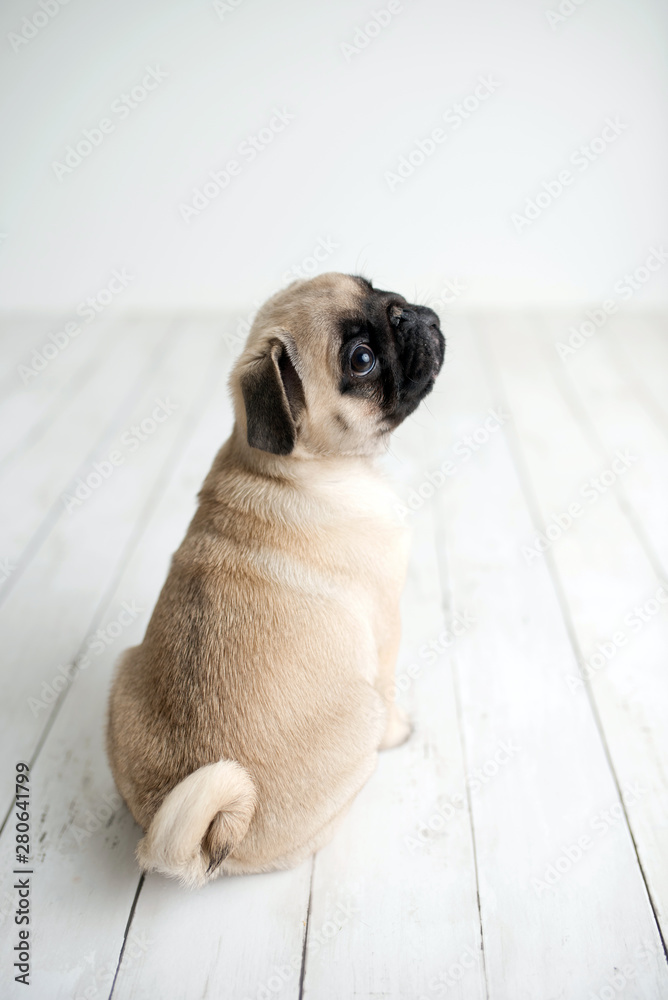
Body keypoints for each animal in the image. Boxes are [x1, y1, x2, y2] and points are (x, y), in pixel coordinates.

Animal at [107, 272, 446, 884]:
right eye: (361, 360)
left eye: (371, 285)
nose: (404, 312)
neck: (293, 467)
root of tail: (205, 844)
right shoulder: (386, 629)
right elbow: (392, 688)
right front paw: (403, 730)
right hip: (360, 718)